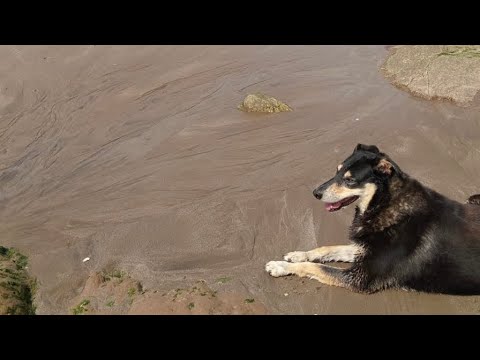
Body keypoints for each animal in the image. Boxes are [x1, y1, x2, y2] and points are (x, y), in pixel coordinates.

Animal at [264, 143, 480, 296]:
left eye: (350, 180)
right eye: (337, 171)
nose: (315, 193)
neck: (383, 204)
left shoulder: (360, 278)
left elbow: (316, 267)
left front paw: (280, 267)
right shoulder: (364, 249)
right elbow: (326, 249)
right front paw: (298, 254)